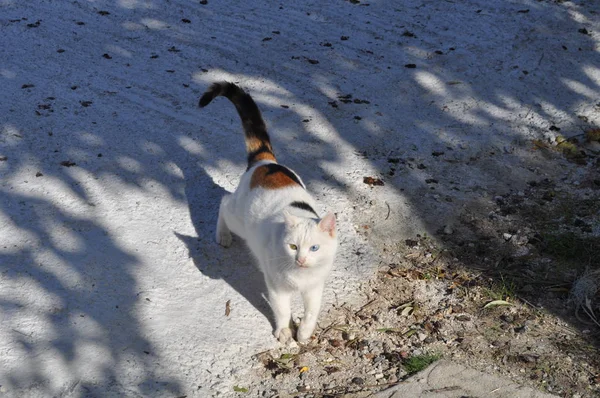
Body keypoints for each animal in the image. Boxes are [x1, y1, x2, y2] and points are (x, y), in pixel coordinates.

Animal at [198, 81, 336, 342]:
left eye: (314, 248)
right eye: (292, 246)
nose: (301, 260)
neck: (300, 277)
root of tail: (266, 162)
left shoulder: (315, 287)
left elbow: (312, 311)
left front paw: (304, 332)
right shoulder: (276, 284)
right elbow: (281, 309)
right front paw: (284, 331)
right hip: (238, 217)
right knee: (224, 202)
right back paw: (223, 235)